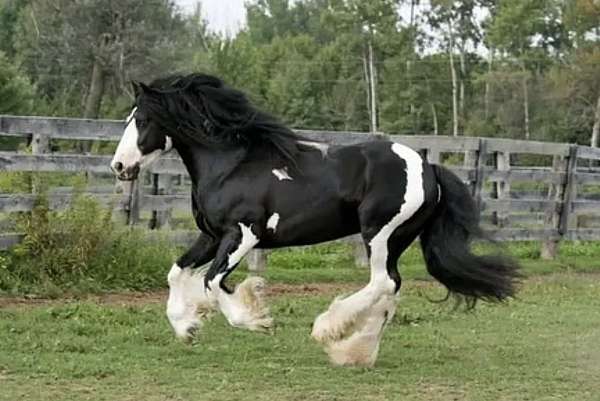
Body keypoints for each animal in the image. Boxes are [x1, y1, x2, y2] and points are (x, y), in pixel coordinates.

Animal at [111, 72, 520, 366]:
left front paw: (256, 319)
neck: (231, 163)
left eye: (142, 119)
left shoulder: (243, 233)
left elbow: (212, 281)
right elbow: (177, 273)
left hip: (379, 234)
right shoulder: (211, 235)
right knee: (390, 289)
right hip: (396, 240)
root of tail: (428, 167)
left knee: (382, 282)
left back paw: (327, 330)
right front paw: (187, 328)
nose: (119, 166)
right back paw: (355, 352)